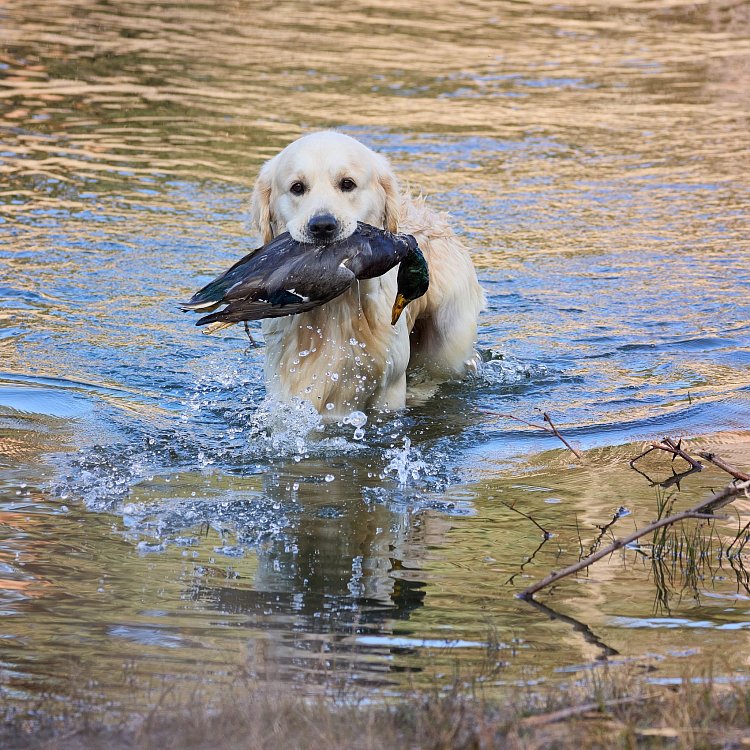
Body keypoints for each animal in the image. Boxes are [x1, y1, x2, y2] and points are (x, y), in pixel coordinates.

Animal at [251, 132, 488, 420]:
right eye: (297, 187)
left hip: (448, 342)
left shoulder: (390, 387)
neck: (335, 308)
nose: (323, 226)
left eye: (347, 184)